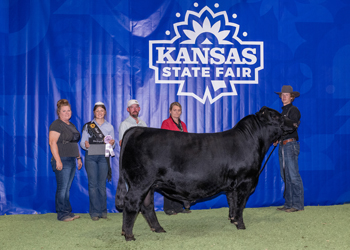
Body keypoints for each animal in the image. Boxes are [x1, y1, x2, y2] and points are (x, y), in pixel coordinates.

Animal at [116, 106, 296, 240]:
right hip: (140, 182)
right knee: (132, 203)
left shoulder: (232, 186)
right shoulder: (245, 181)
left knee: (147, 205)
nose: (295, 124)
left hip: (149, 185)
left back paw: (158, 228)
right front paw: (241, 225)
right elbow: (240, 205)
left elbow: (232, 203)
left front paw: (232, 220)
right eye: (277, 116)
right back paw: (129, 235)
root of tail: (136, 130)